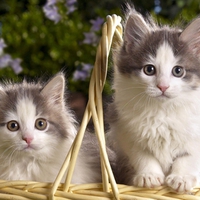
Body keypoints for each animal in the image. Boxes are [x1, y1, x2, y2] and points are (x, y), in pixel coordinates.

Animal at [108, 4, 200, 192]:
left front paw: (181, 178)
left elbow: (188, 156)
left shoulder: (195, 136)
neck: (162, 111)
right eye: (149, 70)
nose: (162, 86)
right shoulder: (127, 131)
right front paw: (148, 176)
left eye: (178, 71)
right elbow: (143, 155)